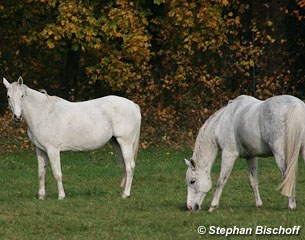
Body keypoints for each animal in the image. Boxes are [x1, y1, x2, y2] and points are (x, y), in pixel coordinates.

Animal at [2, 76, 141, 199]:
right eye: (8, 96)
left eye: (22, 96)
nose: (17, 117)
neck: (44, 113)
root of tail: (134, 106)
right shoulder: (40, 150)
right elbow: (41, 173)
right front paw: (41, 196)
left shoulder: (53, 150)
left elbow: (57, 173)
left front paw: (61, 196)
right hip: (116, 143)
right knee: (124, 166)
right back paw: (122, 193)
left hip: (125, 143)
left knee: (130, 167)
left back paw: (126, 194)